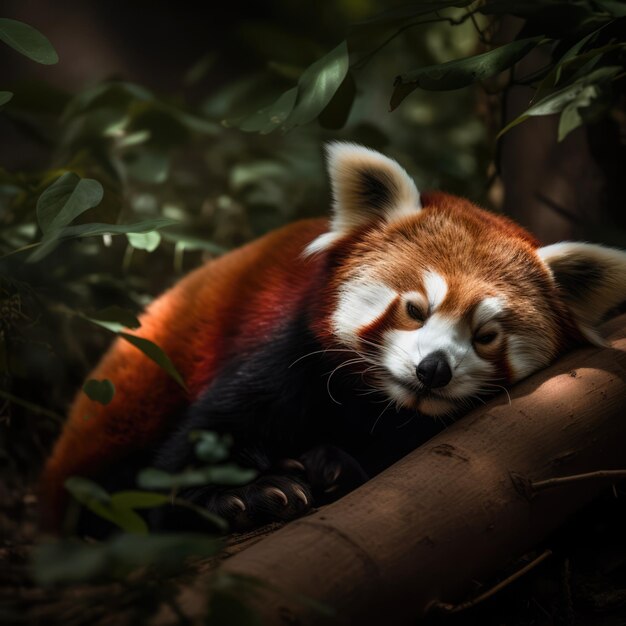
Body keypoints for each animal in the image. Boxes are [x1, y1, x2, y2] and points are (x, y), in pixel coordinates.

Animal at [40, 145, 626, 532]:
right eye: (415, 309)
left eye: (485, 336)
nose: (433, 369)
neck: (373, 403)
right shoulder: (284, 347)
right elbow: (192, 451)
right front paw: (244, 495)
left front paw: (332, 465)